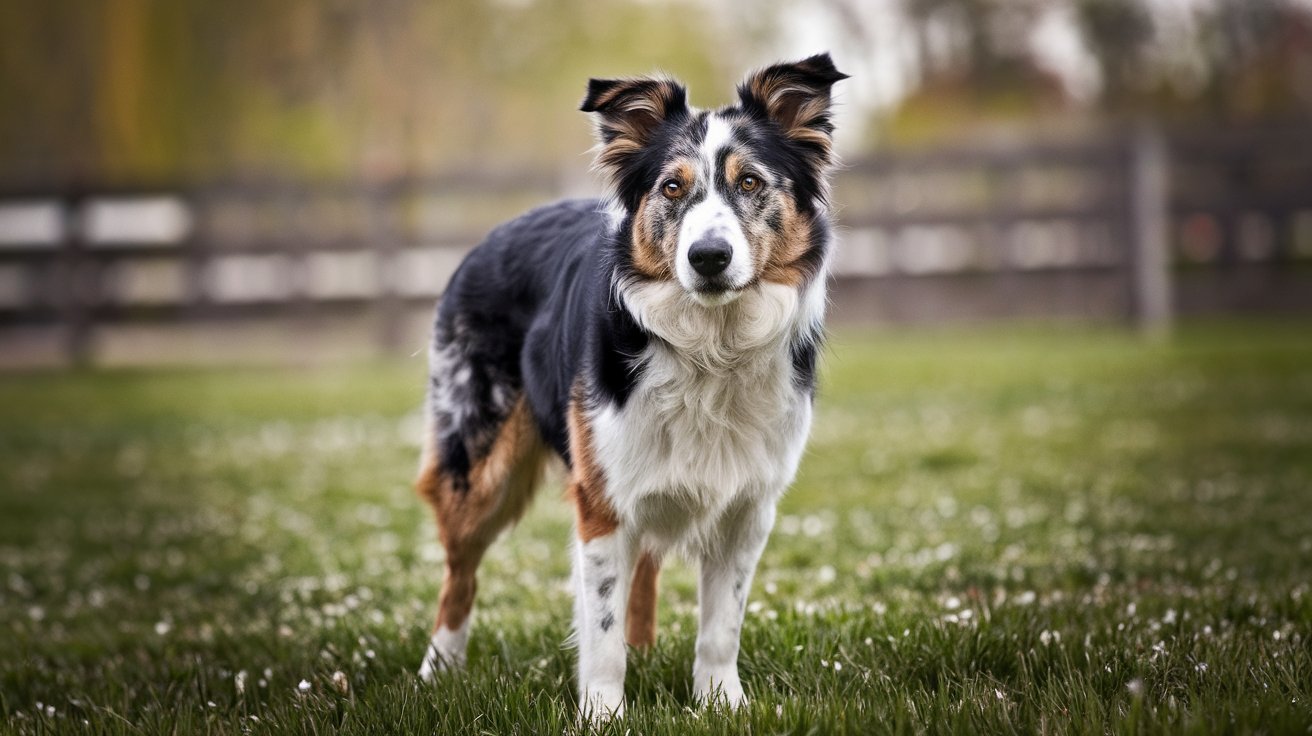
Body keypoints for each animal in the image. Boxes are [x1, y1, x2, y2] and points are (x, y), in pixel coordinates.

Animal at [417, 53, 850, 718]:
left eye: (751, 183)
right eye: (672, 188)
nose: (708, 256)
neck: (711, 345)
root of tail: (494, 233)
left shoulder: (747, 506)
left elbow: (721, 626)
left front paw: (722, 704)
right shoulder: (602, 499)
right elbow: (600, 631)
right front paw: (602, 715)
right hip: (479, 464)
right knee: (459, 575)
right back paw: (436, 673)